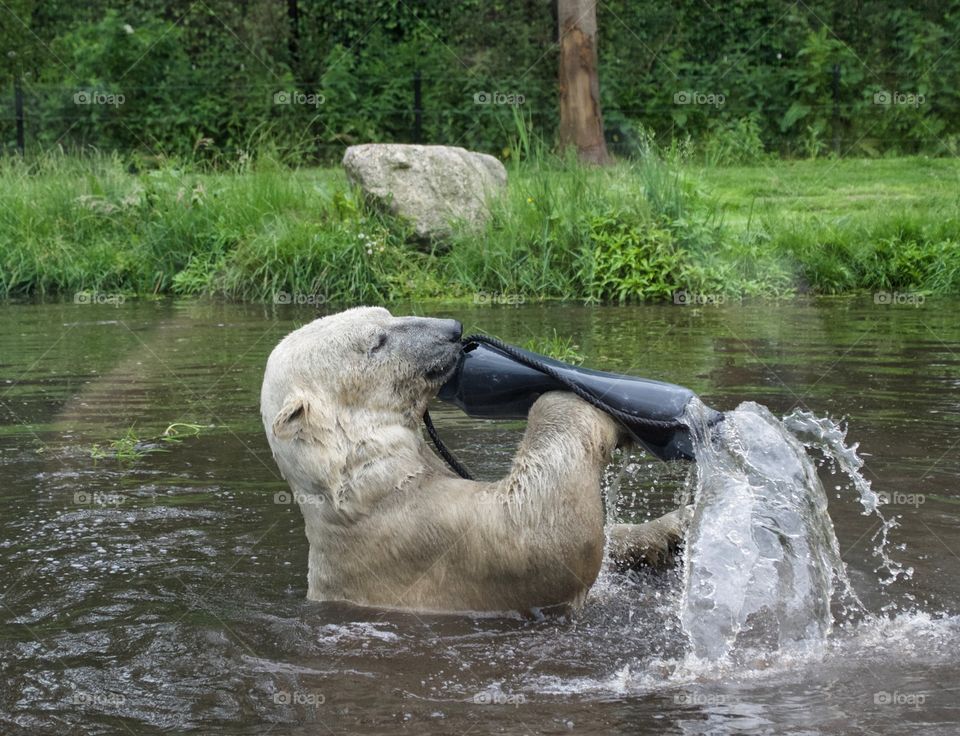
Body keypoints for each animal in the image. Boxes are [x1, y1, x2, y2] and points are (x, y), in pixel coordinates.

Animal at [258, 306, 688, 616]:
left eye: (386, 312)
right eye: (378, 340)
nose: (452, 328)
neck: (360, 485)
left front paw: (672, 529)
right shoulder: (423, 537)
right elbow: (541, 538)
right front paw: (571, 389)